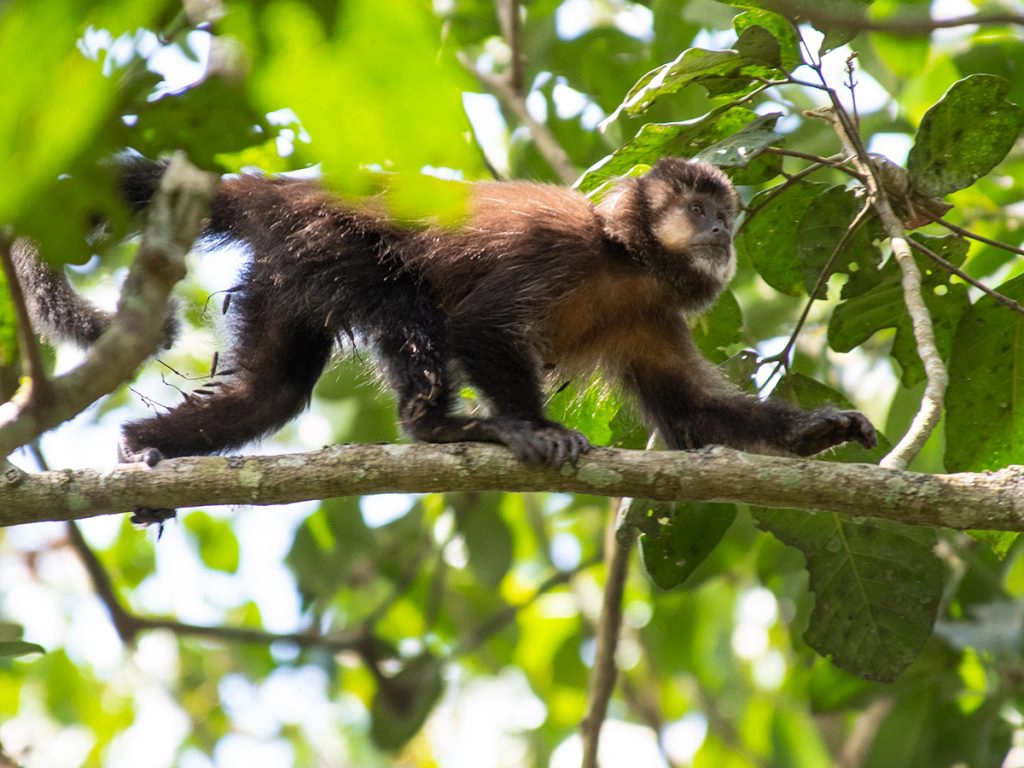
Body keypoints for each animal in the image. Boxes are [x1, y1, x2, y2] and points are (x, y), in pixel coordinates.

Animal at [15, 155, 876, 521]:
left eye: (725, 213)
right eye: (699, 210)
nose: (724, 232)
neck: (624, 257)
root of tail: (285, 191)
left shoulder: (652, 312)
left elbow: (694, 411)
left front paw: (819, 430)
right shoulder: (558, 249)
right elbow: (479, 324)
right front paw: (530, 428)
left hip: (287, 267)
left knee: (272, 391)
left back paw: (143, 447)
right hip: (328, 238)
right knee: (407, 304)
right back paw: (443, 427)